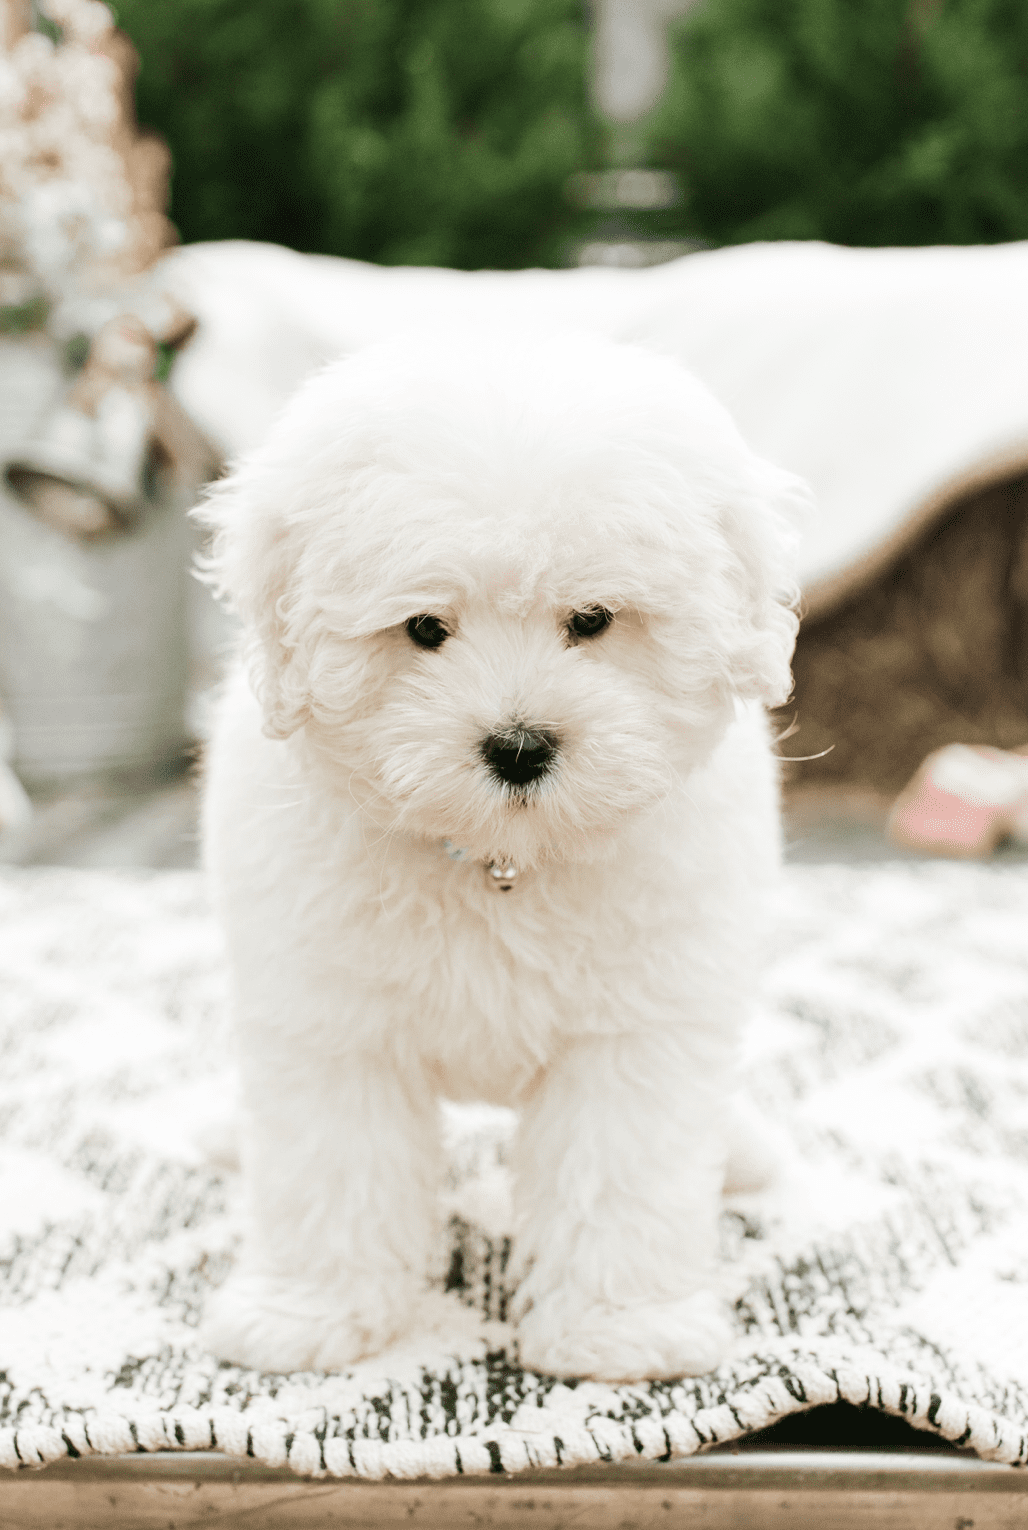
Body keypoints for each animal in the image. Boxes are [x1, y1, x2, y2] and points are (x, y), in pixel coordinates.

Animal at [200, 328, 807, 1383]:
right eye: (424, 629)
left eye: (594, 619)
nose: (519, 746)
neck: (500, 860)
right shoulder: (330, 1022)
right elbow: (330, 1171)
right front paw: (309, 1314)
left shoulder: (634, 1031)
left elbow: (619, 1173)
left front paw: (621, 1329)